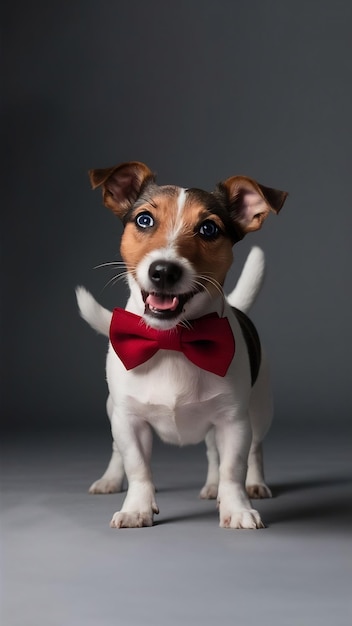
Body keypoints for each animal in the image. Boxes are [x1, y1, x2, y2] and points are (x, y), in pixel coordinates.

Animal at [75, 161, 288, 528]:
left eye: (208, 229)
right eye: (144, 220)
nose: (163, 271)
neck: (172, 339)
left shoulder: (233, 421)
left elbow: (233, 467)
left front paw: (237, 508)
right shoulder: (128, 420)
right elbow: (138, 467)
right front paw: (137, 508)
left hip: (258, 409)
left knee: (247, 450)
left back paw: (249, 484)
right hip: (112, 409)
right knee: (123, 452)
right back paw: (111, 480)